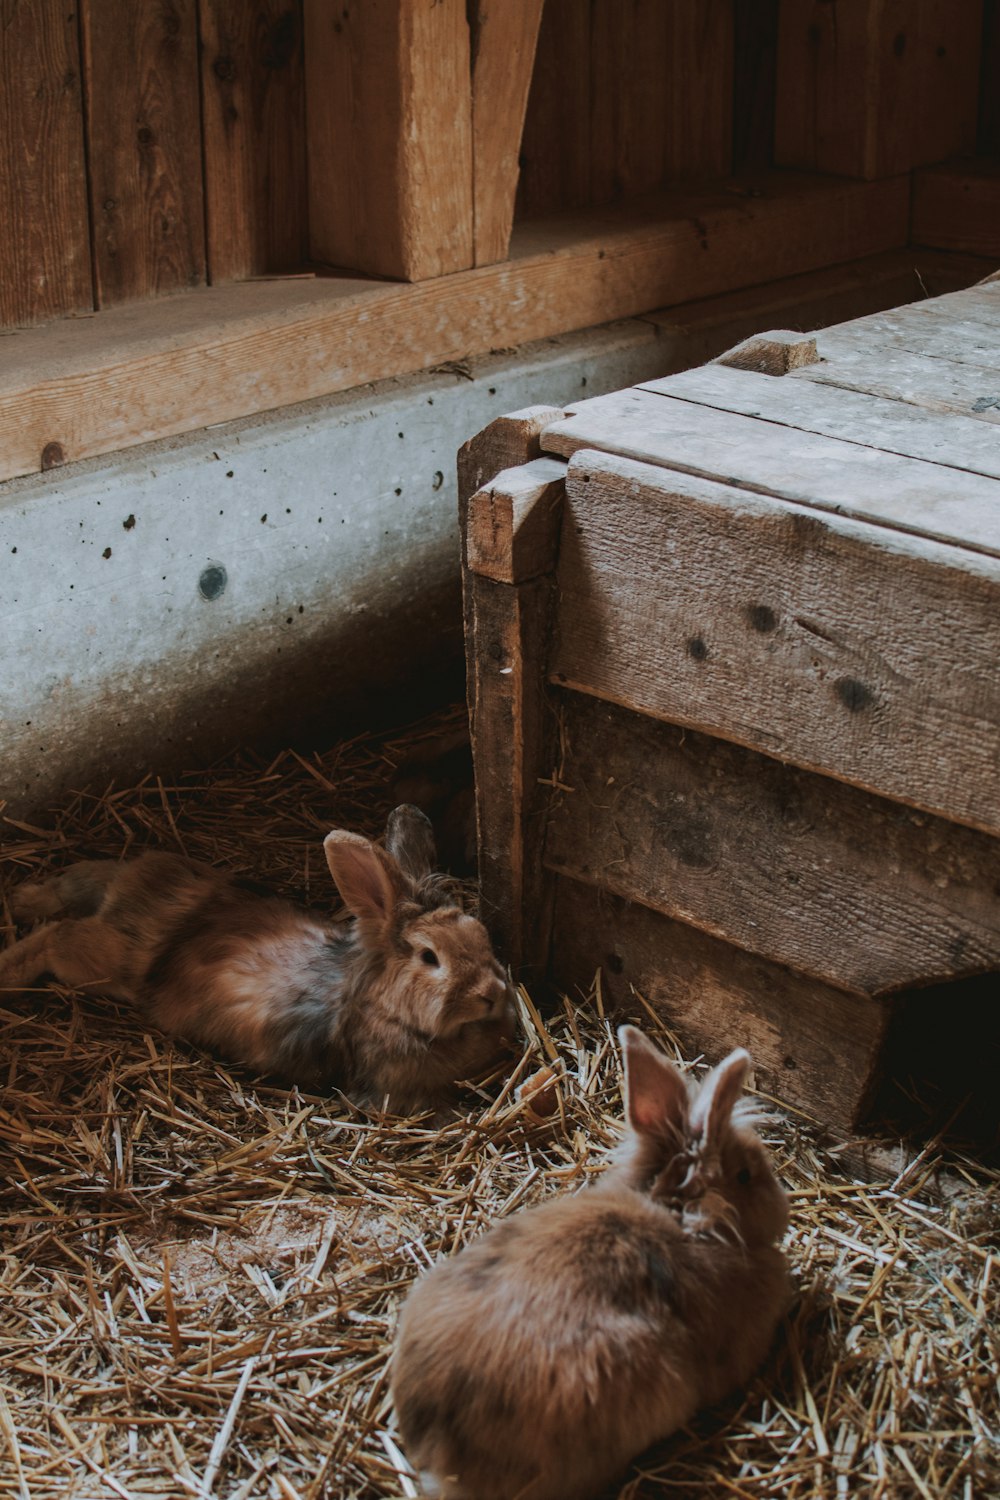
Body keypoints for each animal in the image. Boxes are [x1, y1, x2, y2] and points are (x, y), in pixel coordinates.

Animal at [0, 804, 515, 1110]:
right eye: (430, 958)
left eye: (479, 935)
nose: (491, 994)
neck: (384, 1009)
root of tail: (134, 884)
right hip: (102, 962)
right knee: (57, 935)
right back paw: (10, 968)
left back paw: (21, 900)